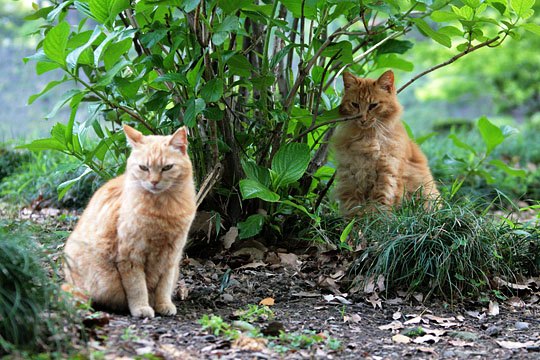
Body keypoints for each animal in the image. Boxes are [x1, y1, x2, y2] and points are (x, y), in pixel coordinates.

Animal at [63, 124, 196, 318]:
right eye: (144, 167)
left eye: (167, 167)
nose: (154, 182)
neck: (161, 210)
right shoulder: (130, 257)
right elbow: (137, 288)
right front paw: (141, 308)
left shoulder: (171, 257)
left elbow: (164, 286)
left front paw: (163, 304)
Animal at [334, 71, 438, 215]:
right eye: (355, 104)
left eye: (373, 105)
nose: (362, 119)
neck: (367, 137)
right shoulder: (350, 176)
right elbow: (353, 207)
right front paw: (355, 221)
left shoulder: (387, 175)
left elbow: (380, 204)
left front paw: (376, 220)